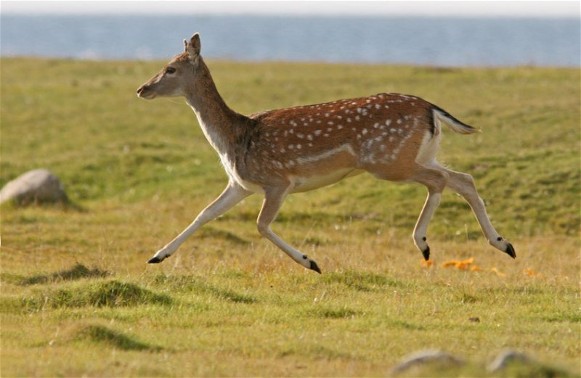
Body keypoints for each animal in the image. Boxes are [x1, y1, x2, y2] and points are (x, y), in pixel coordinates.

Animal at [137, 32, 516, 274]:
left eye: (170, 68)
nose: (142, 88)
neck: (235, 138)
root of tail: (432, 109)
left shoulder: (278, 181)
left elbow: (261, 225)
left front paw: (311, 262)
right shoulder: (241, 184)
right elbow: (204, 213)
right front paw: (157, 256)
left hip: (389, 160)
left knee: (440, 180)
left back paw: (423, 243)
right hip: (417, 154)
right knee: (462, 178)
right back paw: (503, 244)